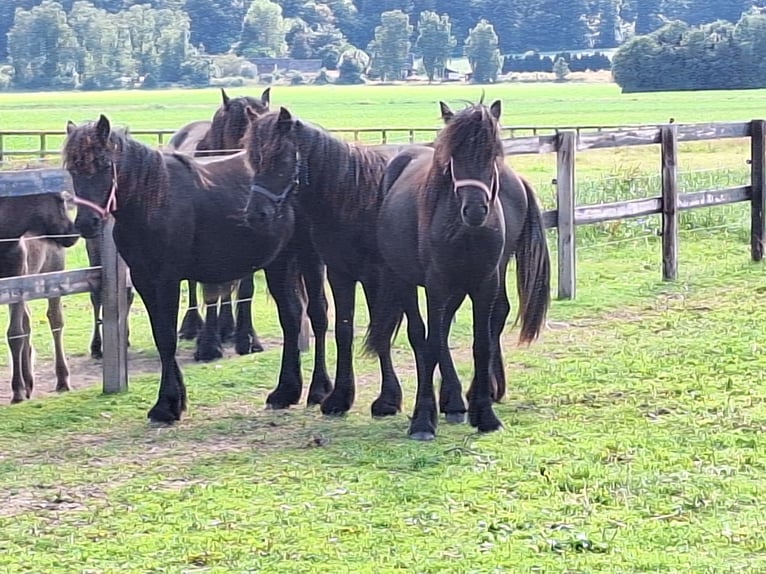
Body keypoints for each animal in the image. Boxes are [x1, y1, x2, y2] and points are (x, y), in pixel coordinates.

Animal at [63, 115, 332, 426]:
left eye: (105, 165)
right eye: (73, 169)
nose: (87, 223)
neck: (153, 200)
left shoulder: (166, 280)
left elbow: (167, 337)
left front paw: (166, 405)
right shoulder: (145, 281)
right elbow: (161, 337)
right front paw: (174, 401)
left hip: (310, 259)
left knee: (318, 316)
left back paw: (320, 391)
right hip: (280, 262)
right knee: (291, 317)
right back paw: (285, 392)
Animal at [368, 100, 552, 440]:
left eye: (492, 153)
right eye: (453, 155)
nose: (476, 209)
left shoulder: (485, 283)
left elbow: (480, 343)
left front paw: (485, 414)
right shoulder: (437, 285)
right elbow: (429, 342)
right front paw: (422, 420)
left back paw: (458, 400)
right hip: (405, 280)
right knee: (422, 335)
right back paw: (447, 402)